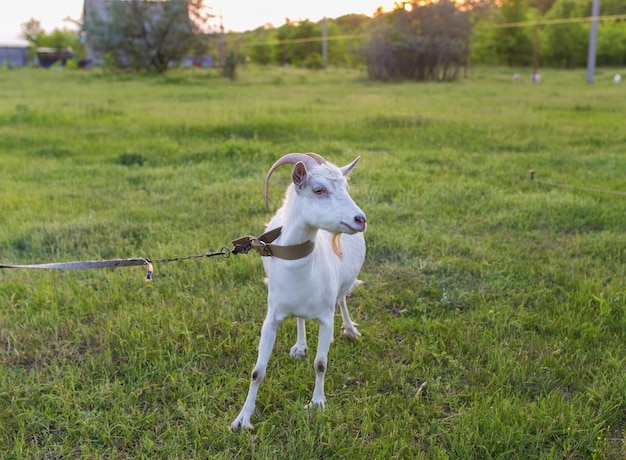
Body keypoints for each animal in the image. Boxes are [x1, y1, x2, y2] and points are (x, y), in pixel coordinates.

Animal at [230, 153, 366, 430]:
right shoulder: (271, 317)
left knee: (342, 299)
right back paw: (301, 346)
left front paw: (317, 403)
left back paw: (349, 330)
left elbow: (321, 364)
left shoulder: (325, 317)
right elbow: (257, 371)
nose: (361, 219)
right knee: (301, 318)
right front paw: (242, 418)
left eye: (346, 187)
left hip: (344, 284)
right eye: (319, 189)